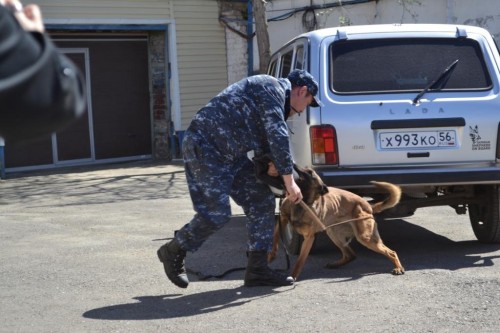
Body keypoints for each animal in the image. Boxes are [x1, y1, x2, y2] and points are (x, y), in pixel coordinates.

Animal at [268, 167, 404, 278]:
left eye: (310, 172)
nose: (294, 165)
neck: (302, 202)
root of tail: (368, 205)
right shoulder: (282, 220)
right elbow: (275, 238)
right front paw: (271, 256)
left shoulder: (309, 238)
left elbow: (300, 260)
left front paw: (293, 276)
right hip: (334, 233)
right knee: (350, 255)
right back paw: (335, 264)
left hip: (365, 238)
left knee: (391, 252)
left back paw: (398, 268)